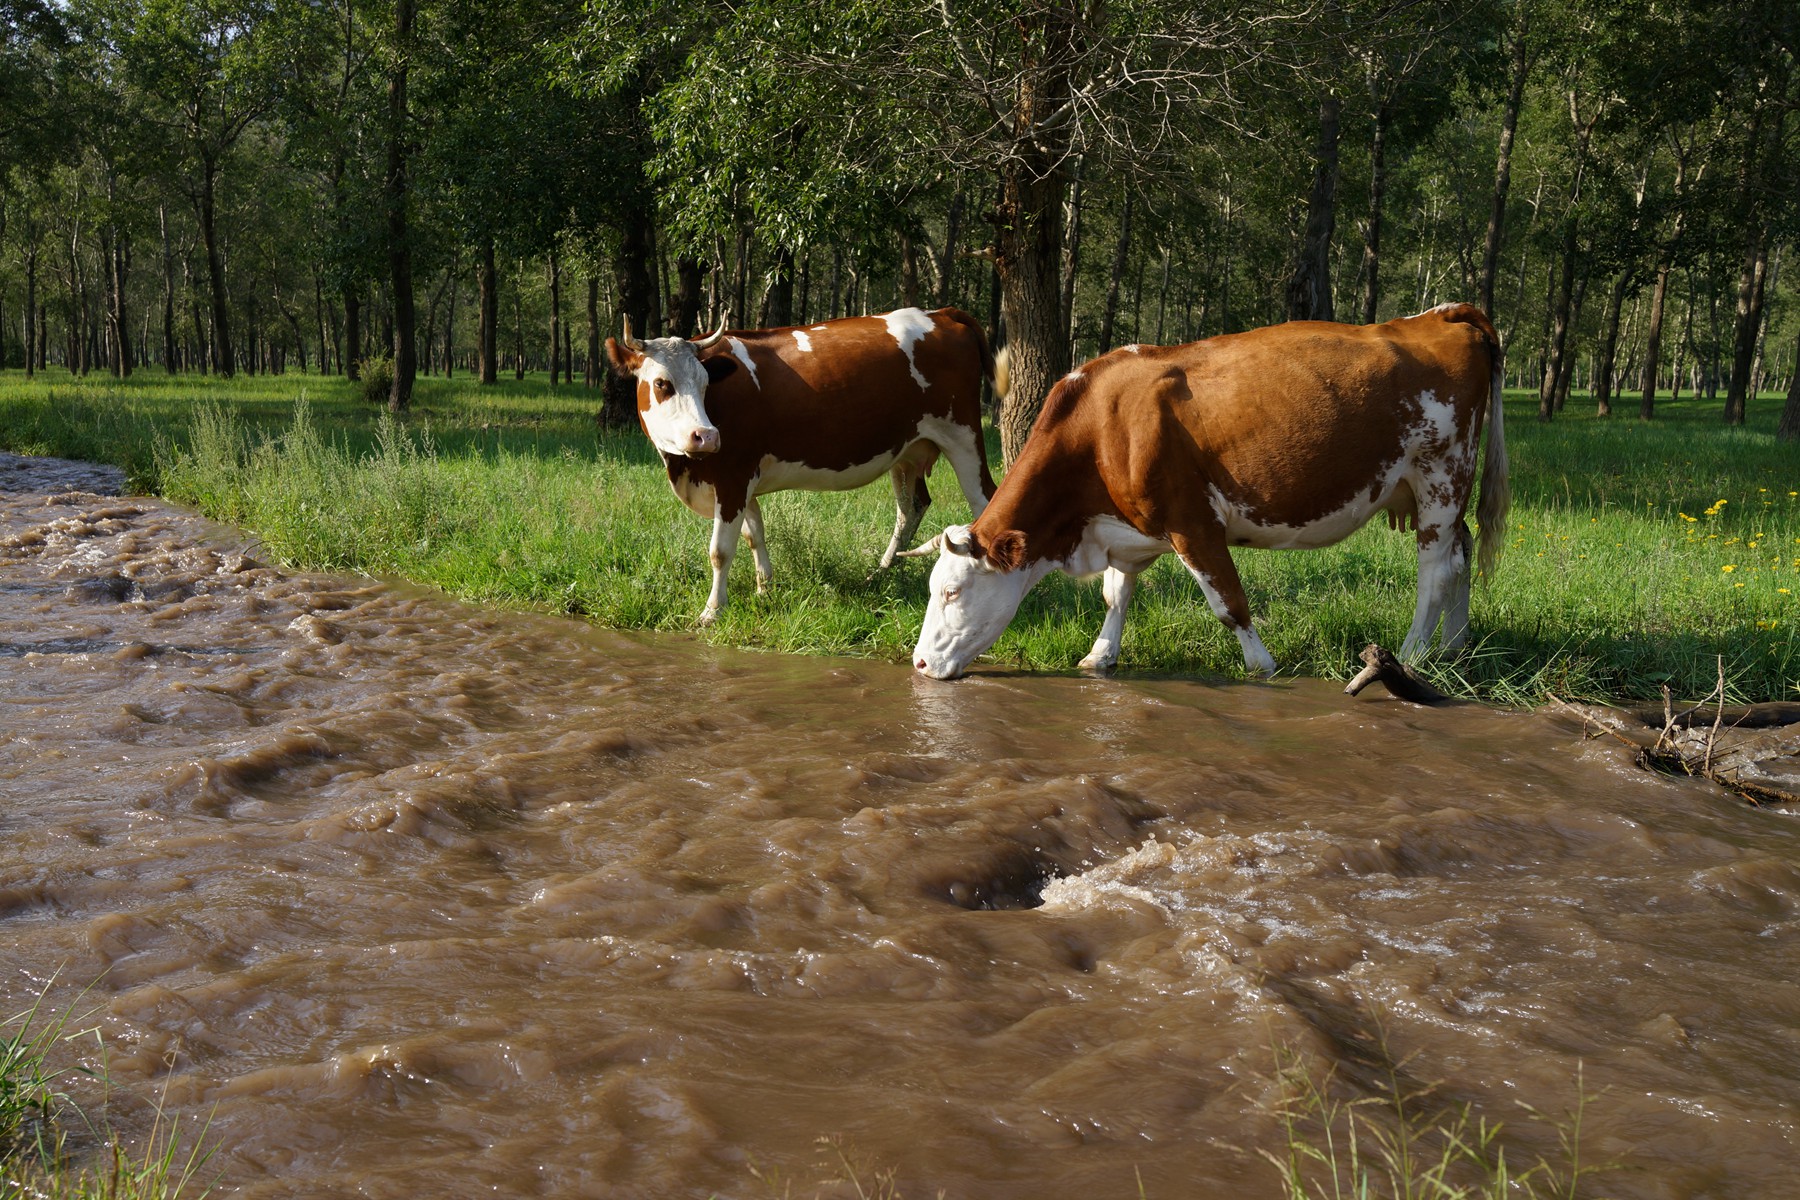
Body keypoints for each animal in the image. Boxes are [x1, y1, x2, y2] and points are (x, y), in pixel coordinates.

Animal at [604, 305, 1000, 626]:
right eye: (662, 383)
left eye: (704, 384)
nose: (707, 436)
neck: (685, 469)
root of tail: (941, 312)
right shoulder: (744, 481)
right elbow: (755, 534)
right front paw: (765, 589)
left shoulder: (733, 475)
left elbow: (721, 550)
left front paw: (713, 610)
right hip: (908, 451)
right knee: (911, 507)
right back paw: (881, 574)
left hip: (962, 435)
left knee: (985, 500)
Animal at [907, 305, 1512, 680]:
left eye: (952, 593)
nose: (918, 664)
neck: (1102, 426)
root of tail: (1440, 315)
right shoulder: (1126, 529)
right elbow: (1116, 595)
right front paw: (1100, 655)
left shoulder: (1192, 522)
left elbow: (1228, 603)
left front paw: (1262, 666)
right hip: (1435, 490)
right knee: (1460, 555)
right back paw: (1453, 648)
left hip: (1440, 476)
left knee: (1435, 571)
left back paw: (1410, 654)